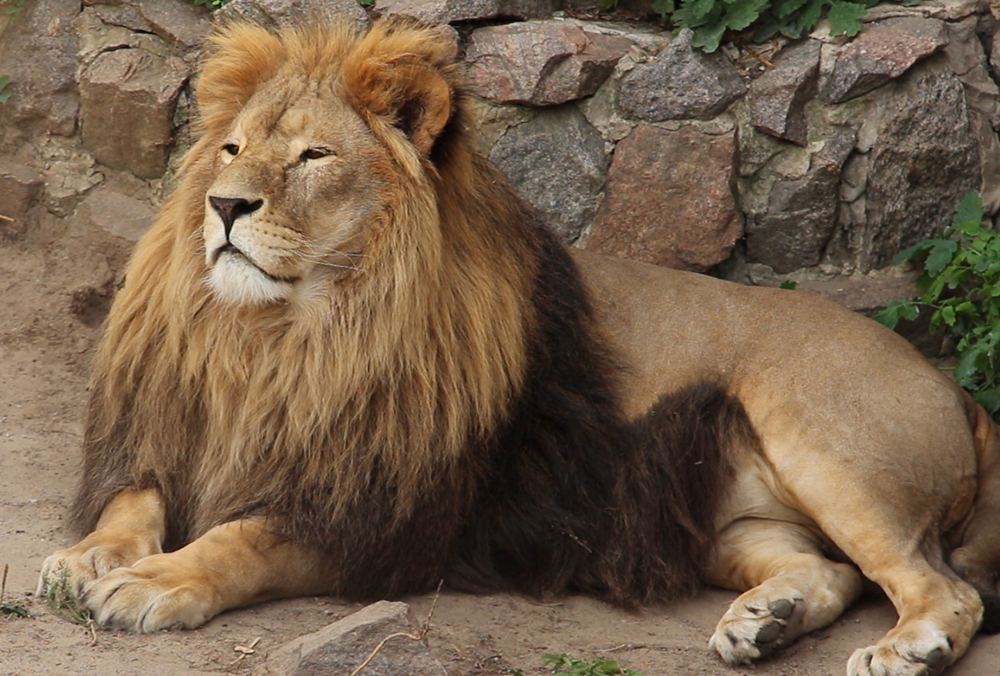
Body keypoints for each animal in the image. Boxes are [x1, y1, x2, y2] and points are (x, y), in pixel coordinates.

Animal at [35, 17, 996, 676]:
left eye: (312, 156)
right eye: (230, 148)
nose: (225, 205)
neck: (278, 338)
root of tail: (953, 387)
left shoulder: (381, 513)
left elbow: (237, 542)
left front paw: (152, 583)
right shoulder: (172, 436)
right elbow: (132, 502)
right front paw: (88, 558)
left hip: (831, 450)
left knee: (942, 587)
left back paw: (910, 646)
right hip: (728, 524)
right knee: (829, 571)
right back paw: (770, 620)